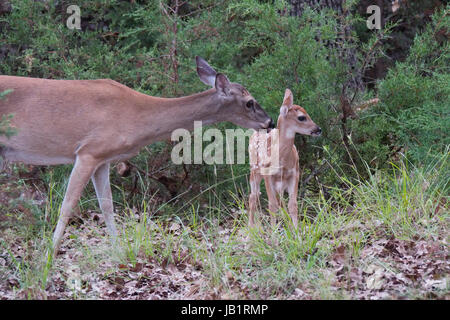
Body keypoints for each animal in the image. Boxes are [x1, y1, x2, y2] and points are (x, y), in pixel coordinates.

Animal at [0, 56, 274, 254]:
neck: (137, 116)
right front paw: (48, 255)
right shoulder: (88, 151)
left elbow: (107, 206)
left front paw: (119, 253)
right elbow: (68, 205)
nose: (270, 122)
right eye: (249, 102)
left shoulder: (102, 159)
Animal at [250, 87, 320, 228]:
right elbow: (272, 206)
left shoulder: (295, 174)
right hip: (254, 171)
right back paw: (251, 229)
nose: (318, 129)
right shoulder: (267, 175)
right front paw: (273, 232)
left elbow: (292, 205)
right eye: (301, 117)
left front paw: (296, 231)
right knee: (253, 197)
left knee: (278, 199)